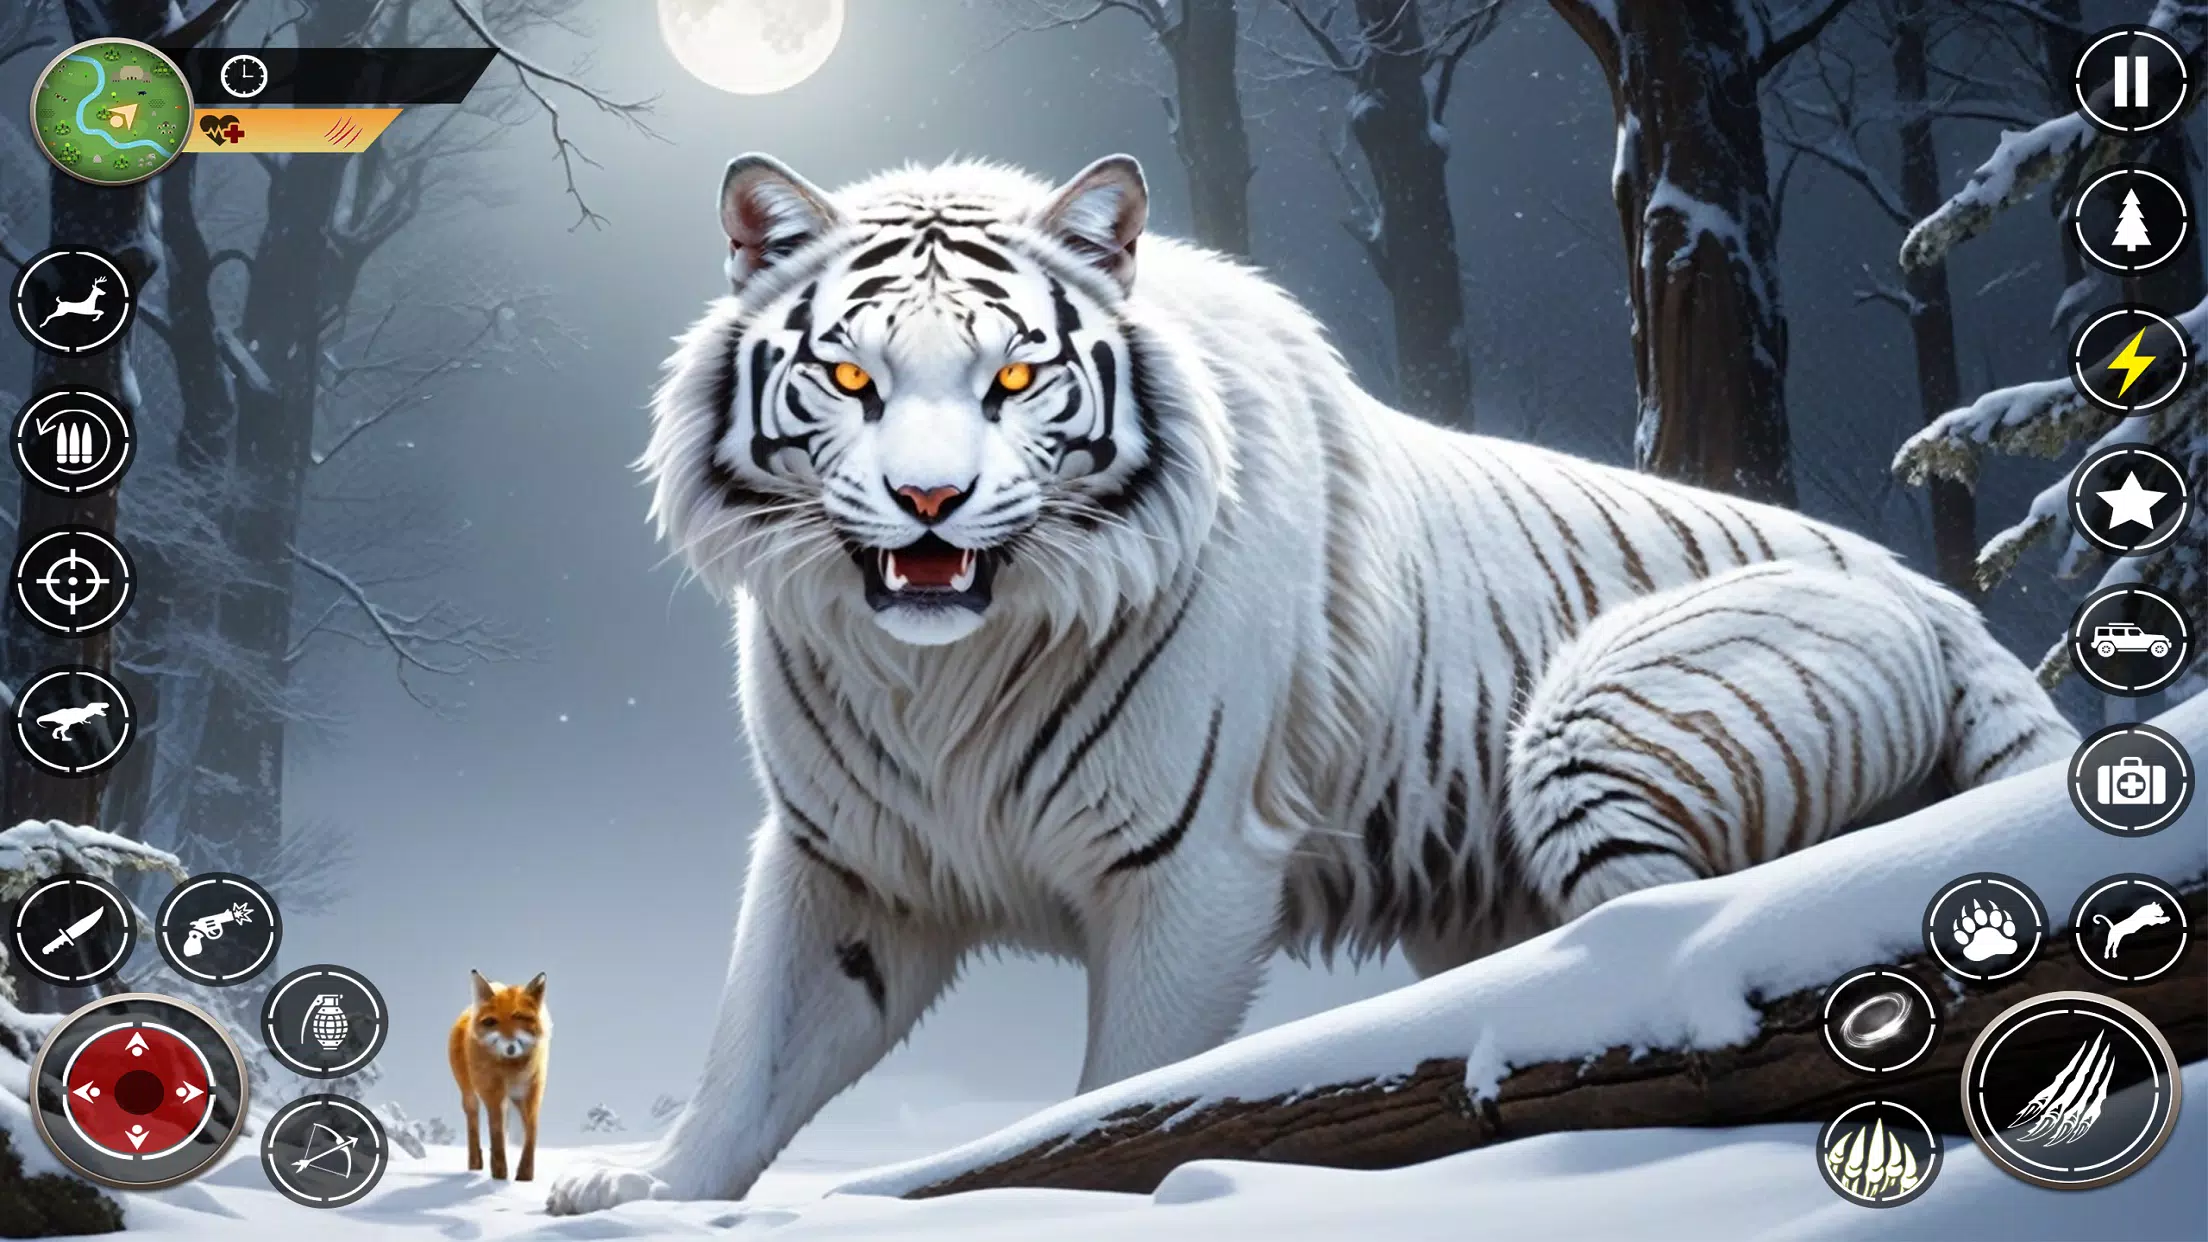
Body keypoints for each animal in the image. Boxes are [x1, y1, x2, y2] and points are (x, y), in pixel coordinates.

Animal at [546, 153, 2077, 1213]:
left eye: (1017, 379)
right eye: (853, 377)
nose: (931, 501)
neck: (944, 671)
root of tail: (1942, 599)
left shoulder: (1187, 865)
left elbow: (1128, 1079)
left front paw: (1073, 1184)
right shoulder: (853, 859)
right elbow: (756, 1042)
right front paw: (642, 1194)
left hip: (1593, 731)